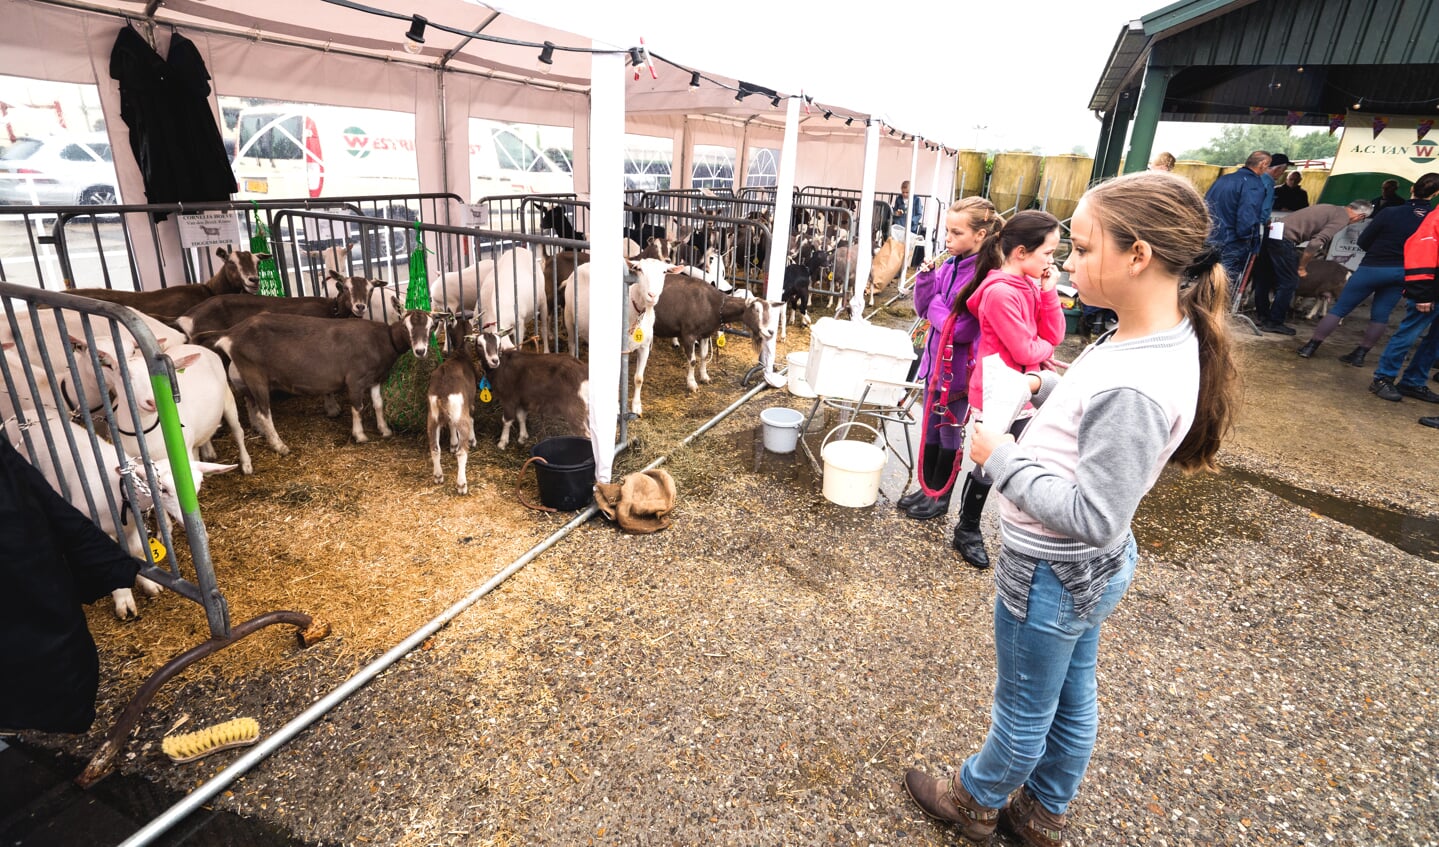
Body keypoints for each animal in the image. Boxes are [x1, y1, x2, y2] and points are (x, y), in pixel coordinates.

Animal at [423, 313, 480, 491]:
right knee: (462, 451)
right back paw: (461, 484)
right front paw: (472, 440)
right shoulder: (470, 403)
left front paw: (453, 445)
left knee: (434, 448)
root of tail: (442, 392)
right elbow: (472, 418)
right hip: (459, 414)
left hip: (432, 416)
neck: (460, 353)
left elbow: (450, 424)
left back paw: (438, 476)